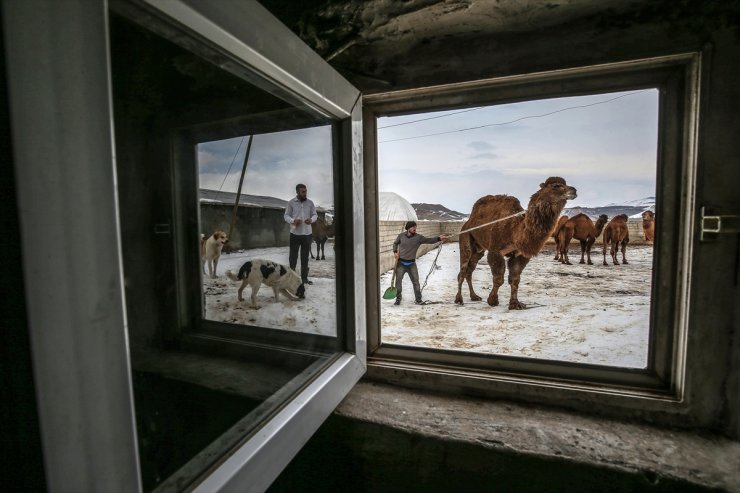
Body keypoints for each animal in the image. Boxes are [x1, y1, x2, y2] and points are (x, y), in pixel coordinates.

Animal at [450, 176, 580, 308]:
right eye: (555, 186)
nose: (573, 190)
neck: (515, 231)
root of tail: (467, 223)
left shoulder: (520, 254)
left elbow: (515, 279)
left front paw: (515, 304)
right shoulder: (495, 251)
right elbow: (499, 278)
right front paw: (492, 300)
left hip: (479, 249)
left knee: (470, 270)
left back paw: (474, 296)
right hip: (466, 238)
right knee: (463, 269)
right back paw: (459, 299)